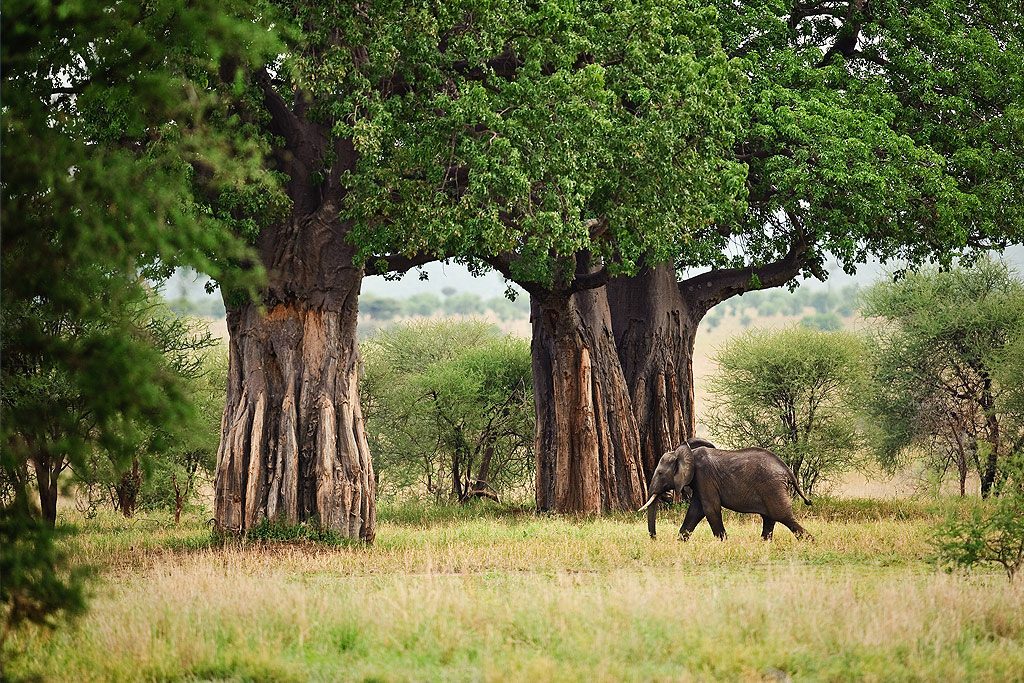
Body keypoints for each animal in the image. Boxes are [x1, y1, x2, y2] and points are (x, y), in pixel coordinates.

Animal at [634, 440, 811, 540]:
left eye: (660, 473)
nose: (654, 539)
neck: (688, 453)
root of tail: (787, 470)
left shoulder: (704, 476)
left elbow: (709, 509)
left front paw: (724, 542)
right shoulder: (699, 482)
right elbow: (695, 511)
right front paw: (680, 541)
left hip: (772, 487)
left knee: (783, 517)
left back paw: (809, 542)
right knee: (769, 518)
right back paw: (764, 543)